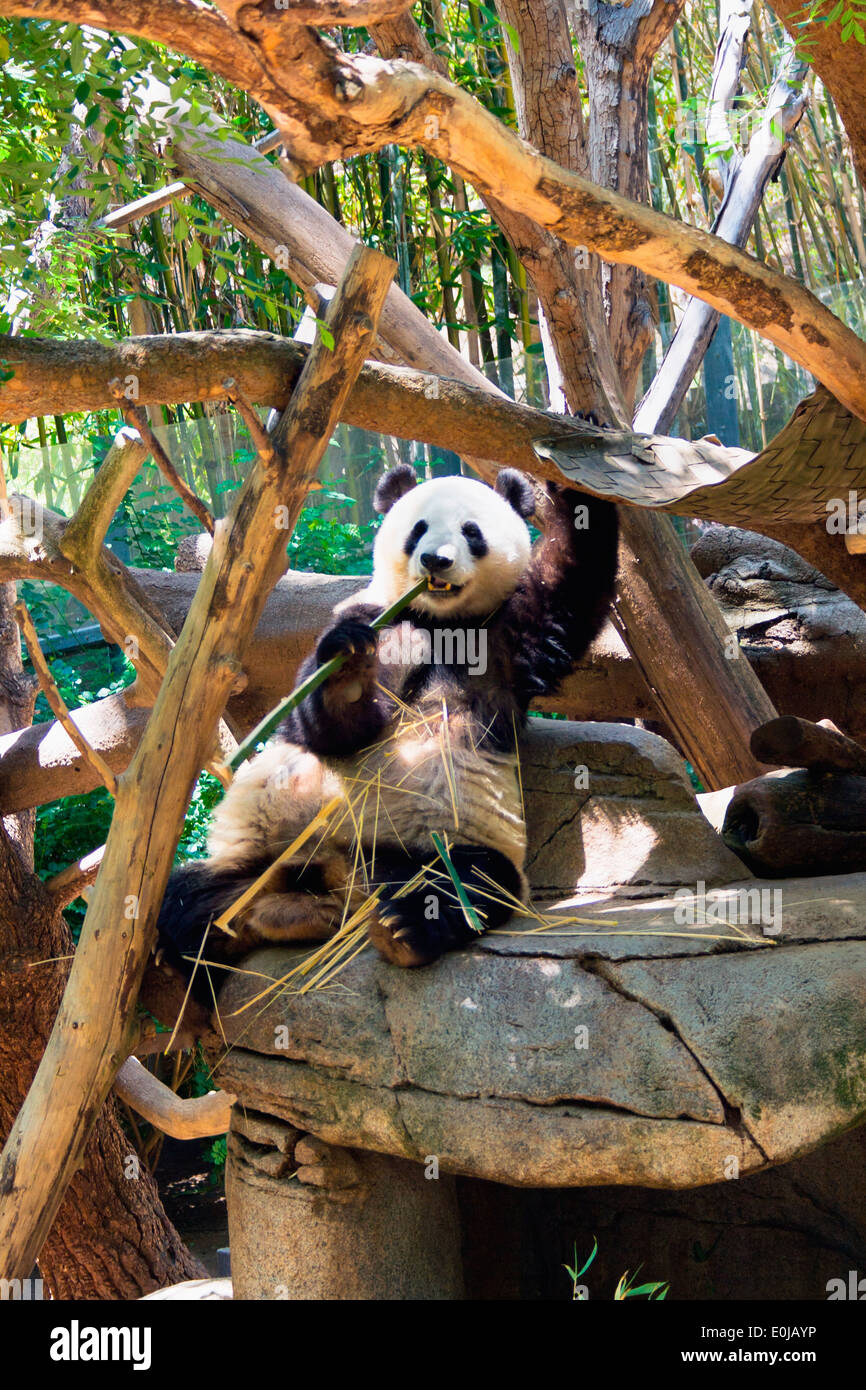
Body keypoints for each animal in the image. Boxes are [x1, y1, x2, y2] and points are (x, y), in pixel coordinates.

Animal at [154, 464, 617, 989]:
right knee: (189, 894)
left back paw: (403, 928)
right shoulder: (374, 617)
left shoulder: (507, 641)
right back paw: (193, 948)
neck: (437, 621)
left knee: (470, 882)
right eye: (418, 528)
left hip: (427, 847)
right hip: (260, 858)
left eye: (471, 532)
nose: (435, 560)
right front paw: (349, 671)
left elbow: (568, 583)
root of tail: (340, 885)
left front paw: (578, 479)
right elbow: (322, 726)